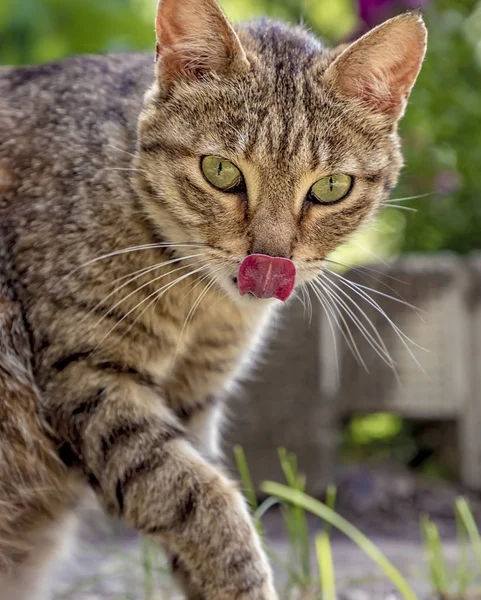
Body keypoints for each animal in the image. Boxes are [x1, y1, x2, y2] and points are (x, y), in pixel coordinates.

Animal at [0, 0, 426, 596]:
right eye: (220, 171)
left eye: (330, 188)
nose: (269, 261)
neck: (201, 307)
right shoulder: (87, 377)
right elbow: (201, 498)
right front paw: (244, 579)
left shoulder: (195, 400)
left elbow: (194, 504)